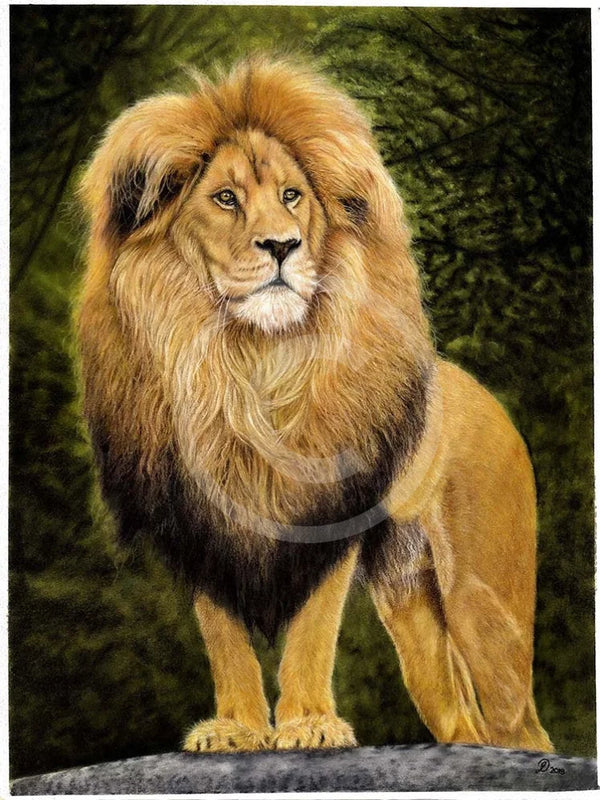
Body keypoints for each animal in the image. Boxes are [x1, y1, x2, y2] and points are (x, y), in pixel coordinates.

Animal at [77, 56, 553, 755]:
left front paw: (308, 725)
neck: (247, 363)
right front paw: (238, 728)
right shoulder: (201, 525)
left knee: (525, 729)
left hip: (485, 604)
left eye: (292, 196)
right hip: (412, 603)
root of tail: (478, 390)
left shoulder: (328, 517)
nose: (283, 246)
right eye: (225, 198)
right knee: (464, 722)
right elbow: (225, 638)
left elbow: (311, 631)